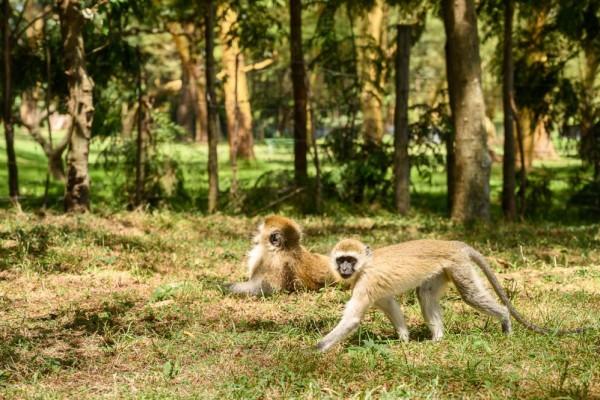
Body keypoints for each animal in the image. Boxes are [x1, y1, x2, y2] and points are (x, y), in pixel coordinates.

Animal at [316, 239, 588, 352]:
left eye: (350, 260)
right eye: (341, 260)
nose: (344, 269)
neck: (365, 264)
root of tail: (453, 244)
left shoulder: (366, 281)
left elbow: (352, 320)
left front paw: (315, 350)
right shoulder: (368, 284)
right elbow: (389, 304)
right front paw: (404, 339)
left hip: (459, 266)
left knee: (470, 294)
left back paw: (504, 319)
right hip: (443, 269)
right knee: (425, 294)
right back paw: (437, 338)